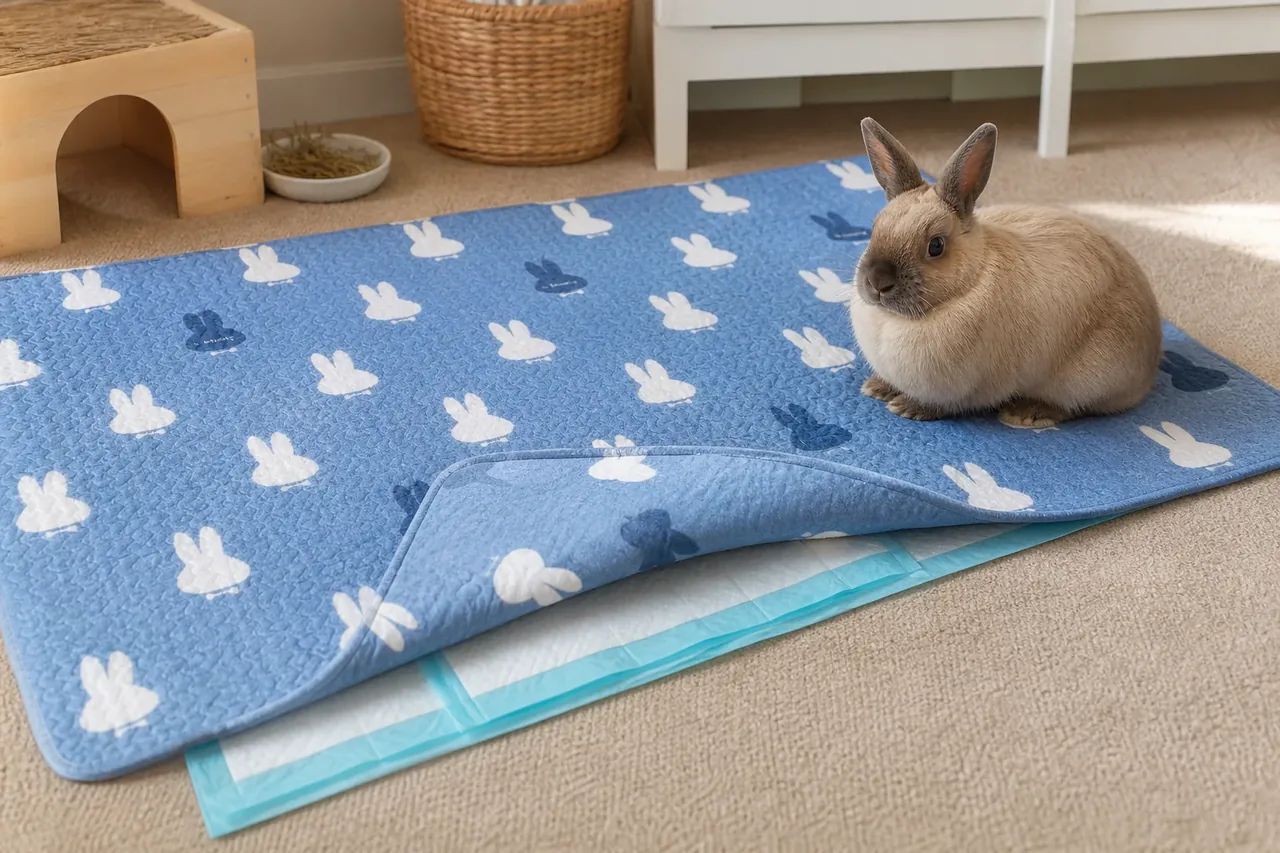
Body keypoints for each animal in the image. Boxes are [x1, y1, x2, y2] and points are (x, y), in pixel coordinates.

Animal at [850, 117, 1163, 428]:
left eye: (936, 246)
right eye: (875, 228)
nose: (877, 283)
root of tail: (1149, 367)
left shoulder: (967, 389)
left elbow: (946, 404)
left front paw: (906, 406)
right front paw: (877, 387)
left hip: (1084, 381)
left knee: (1076, 407)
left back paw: (1025, 413)